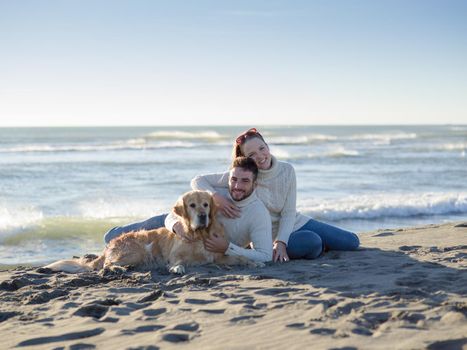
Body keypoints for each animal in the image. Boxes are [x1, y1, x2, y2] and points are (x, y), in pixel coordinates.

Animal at [45, 190, 258, 274]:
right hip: (137, 251)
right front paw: (177, 268)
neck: (199, 235)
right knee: (106, 265)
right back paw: (118, 269)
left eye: (206, 204)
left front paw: (251, 262)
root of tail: (110, 245)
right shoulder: (174, 254)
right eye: (192, 205)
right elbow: (178, 261)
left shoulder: (216, 256)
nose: (203, 215)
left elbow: (237, 257)